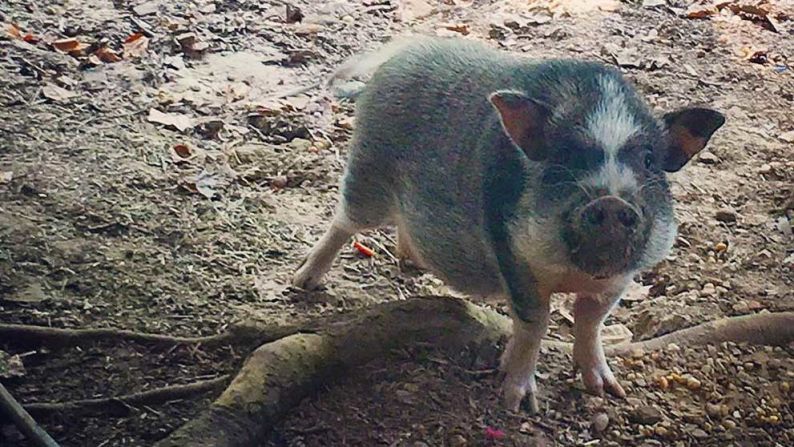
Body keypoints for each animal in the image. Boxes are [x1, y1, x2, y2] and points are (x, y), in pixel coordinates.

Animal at [290, 36, 724, 414]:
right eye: (567, 157)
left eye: (649, 161)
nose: (613, 202)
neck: (573, 271)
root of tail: (400, 53)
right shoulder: (509, 250)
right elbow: (535, 323)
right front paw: (517, 403)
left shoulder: (620, 277)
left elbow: (590, 324)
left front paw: (607, 391)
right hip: (368, 171)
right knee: (344, 220)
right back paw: (303, 282)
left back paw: (410, 263)